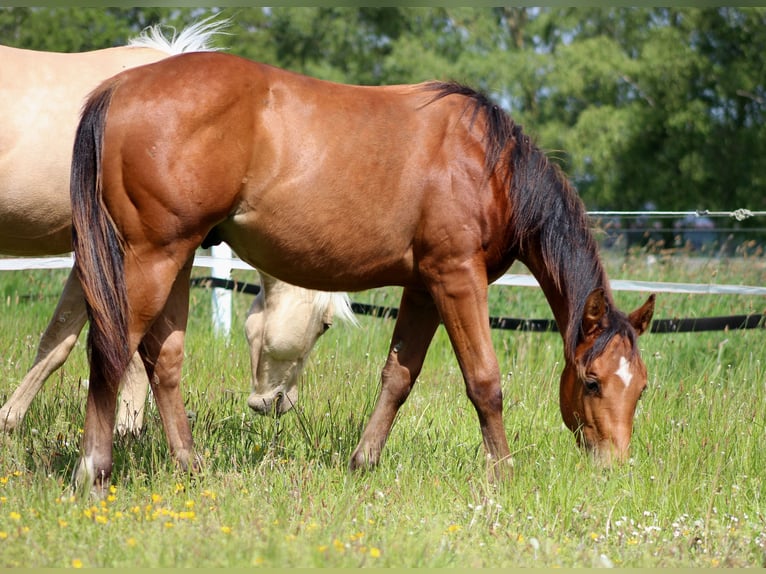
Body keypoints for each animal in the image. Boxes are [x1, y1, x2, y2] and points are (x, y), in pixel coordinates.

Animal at [69, 51, 655, 493]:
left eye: (642, 386)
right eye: (592, 381)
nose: (614, 465)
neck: (490, 165)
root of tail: (118, 87)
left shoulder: (423, 289)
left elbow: (398, 377)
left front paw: (362, 462)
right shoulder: (456, 279)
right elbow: (485, 381)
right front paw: (503, 475)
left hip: (178, 255)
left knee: (162, 359)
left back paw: (190, 467)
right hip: (153, 256)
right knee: (112, 349)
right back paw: (94, 471)